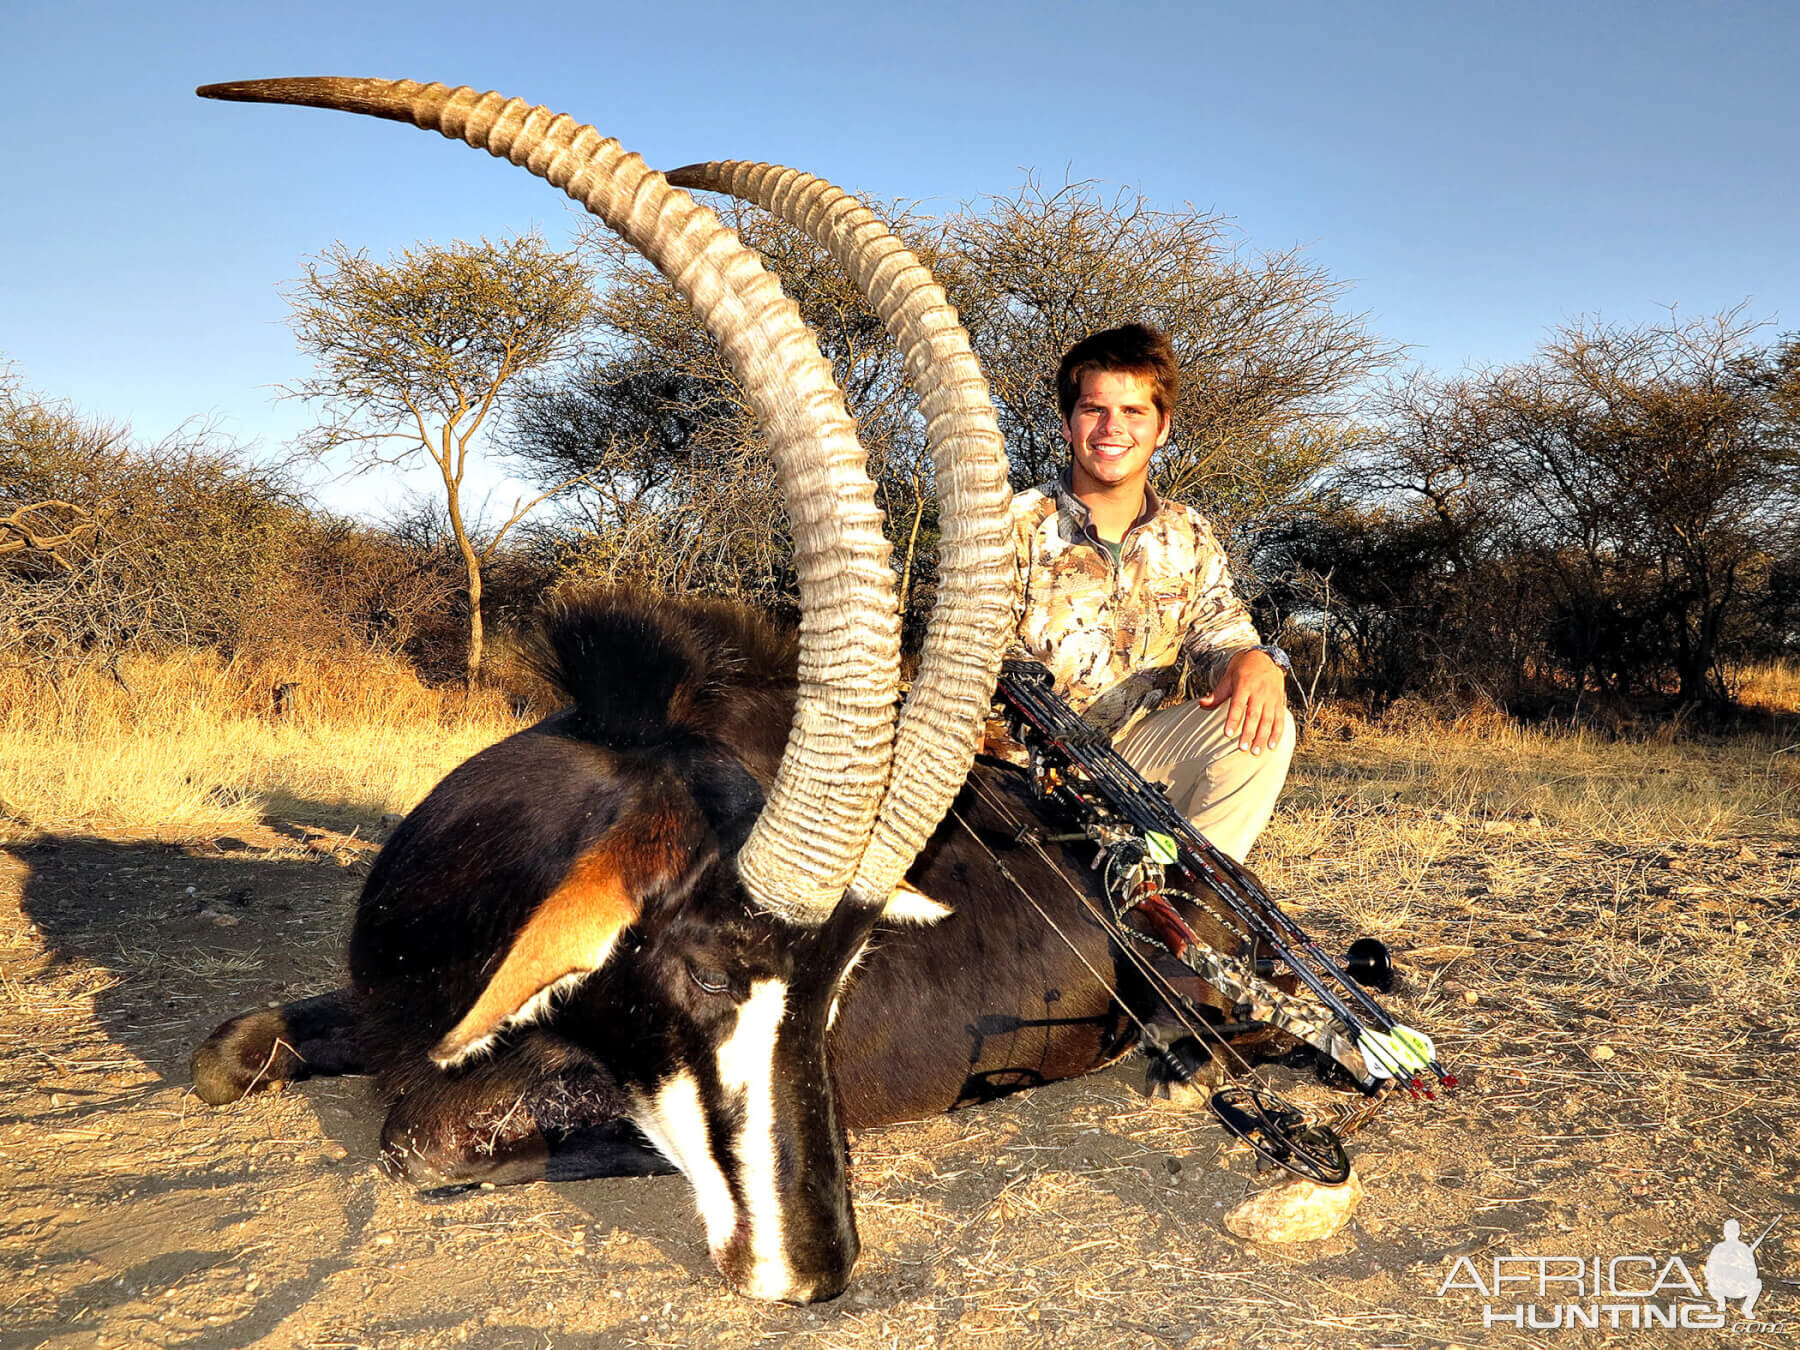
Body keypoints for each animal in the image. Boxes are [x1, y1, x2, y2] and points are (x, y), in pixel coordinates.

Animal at [186, 79, 1281, 1303]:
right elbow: (228, 1052)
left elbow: (423, 1131)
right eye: (709, 974)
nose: (816, 1270)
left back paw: (1184, 1067)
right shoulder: (388, 1006)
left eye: (842, 986)